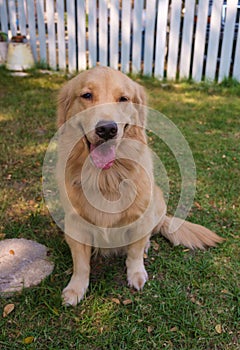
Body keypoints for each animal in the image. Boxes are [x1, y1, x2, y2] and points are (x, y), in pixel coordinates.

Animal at [56, 66, 223, 306]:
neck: (107, 177)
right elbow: (80, 262)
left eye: (123, 99)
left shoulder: (140, 217)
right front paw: (76, 288)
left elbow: (134, 252)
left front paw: (136, 274)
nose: (107, 129)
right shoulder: (75, 222)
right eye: (86, 95)